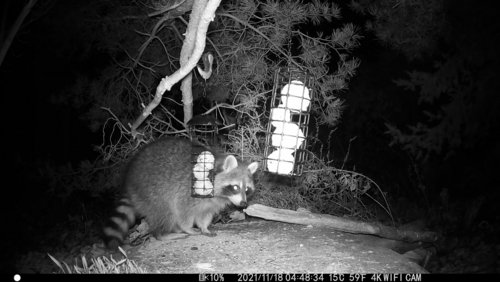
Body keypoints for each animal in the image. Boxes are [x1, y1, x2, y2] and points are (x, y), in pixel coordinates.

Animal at [101, 137, 258, 247]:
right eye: (236, 187)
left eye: (247, 189)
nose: (244, 204)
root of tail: (129, 181)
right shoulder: (187, 191)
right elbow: (183, 210)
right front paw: (187, 228)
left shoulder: (211, 203)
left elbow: (204, 214)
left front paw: (204, 227)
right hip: (151, 190)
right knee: (165, 211)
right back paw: (163, 234)